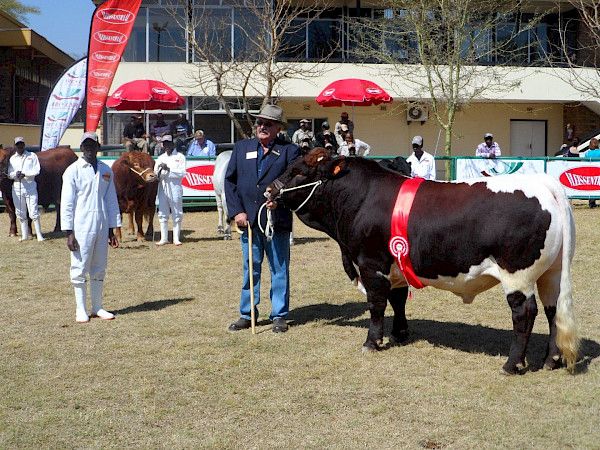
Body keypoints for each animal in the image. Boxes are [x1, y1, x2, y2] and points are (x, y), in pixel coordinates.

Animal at [270, 149, 580, 374]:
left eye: (298, 171)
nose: (269, 191)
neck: (360, 198)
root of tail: (544, 183)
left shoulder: (371, 264)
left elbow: (376, 304)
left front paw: (372, 341)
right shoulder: (395, 265)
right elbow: (398, 299)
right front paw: (399, 333)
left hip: (518, 274)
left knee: (524, 313)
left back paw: (512, 364)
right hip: (551, 273)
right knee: (553, 311)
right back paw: (551, 360)